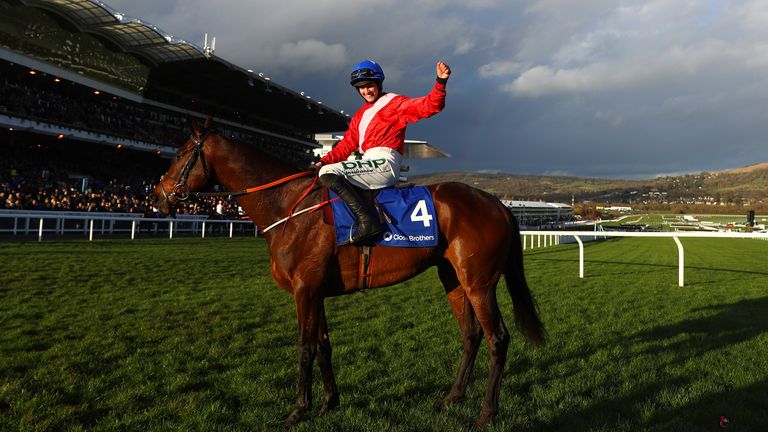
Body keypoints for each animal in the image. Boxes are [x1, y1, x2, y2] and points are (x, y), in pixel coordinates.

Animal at [150, 125, 544, 428]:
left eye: (180, 153)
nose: (158, 196)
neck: (287, 206)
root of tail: (498, 204)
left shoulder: (305, 290)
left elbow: (305, 347)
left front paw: (298, 410)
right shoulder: (316, 291)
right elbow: (324, 344)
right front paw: (329, 402)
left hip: (479, 282)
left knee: (498, 338)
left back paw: (487, 414)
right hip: (453, 278)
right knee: (471, 334)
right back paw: (452, 397)